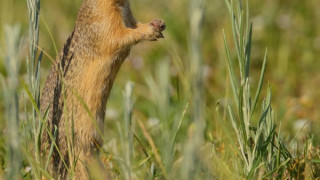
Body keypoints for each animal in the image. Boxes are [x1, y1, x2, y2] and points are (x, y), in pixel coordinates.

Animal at [40, 0, 165, 178]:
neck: (120, 5)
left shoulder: (128, 16)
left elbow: (134, 25)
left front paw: (158, 23)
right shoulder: (103, 22)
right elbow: (119, 36)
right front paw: (150, 30)